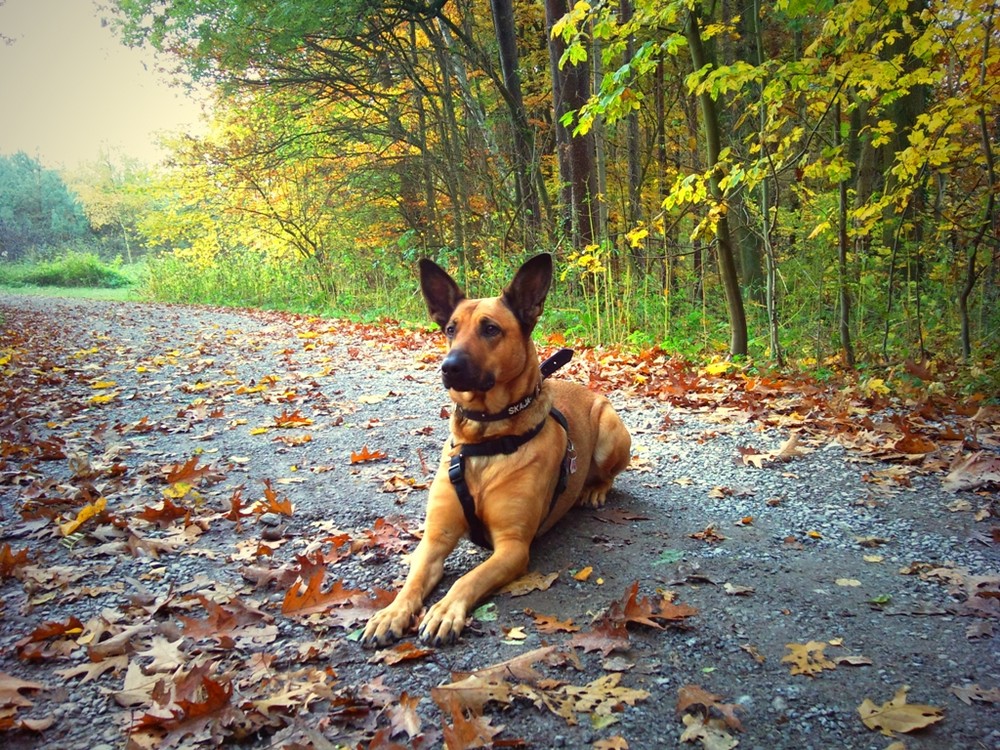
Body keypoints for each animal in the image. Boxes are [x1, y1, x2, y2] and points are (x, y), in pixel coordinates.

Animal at [362, 253, 632, 648]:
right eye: (450, 330)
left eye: (490, 329)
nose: (449, 367)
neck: (485, 439)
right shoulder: (435, 538)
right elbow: (412, 580)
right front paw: (391, 612)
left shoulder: (512, 546)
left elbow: (468, 578)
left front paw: (444, 611)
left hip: (612, 430)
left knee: (609, 475)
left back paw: (594, 490)